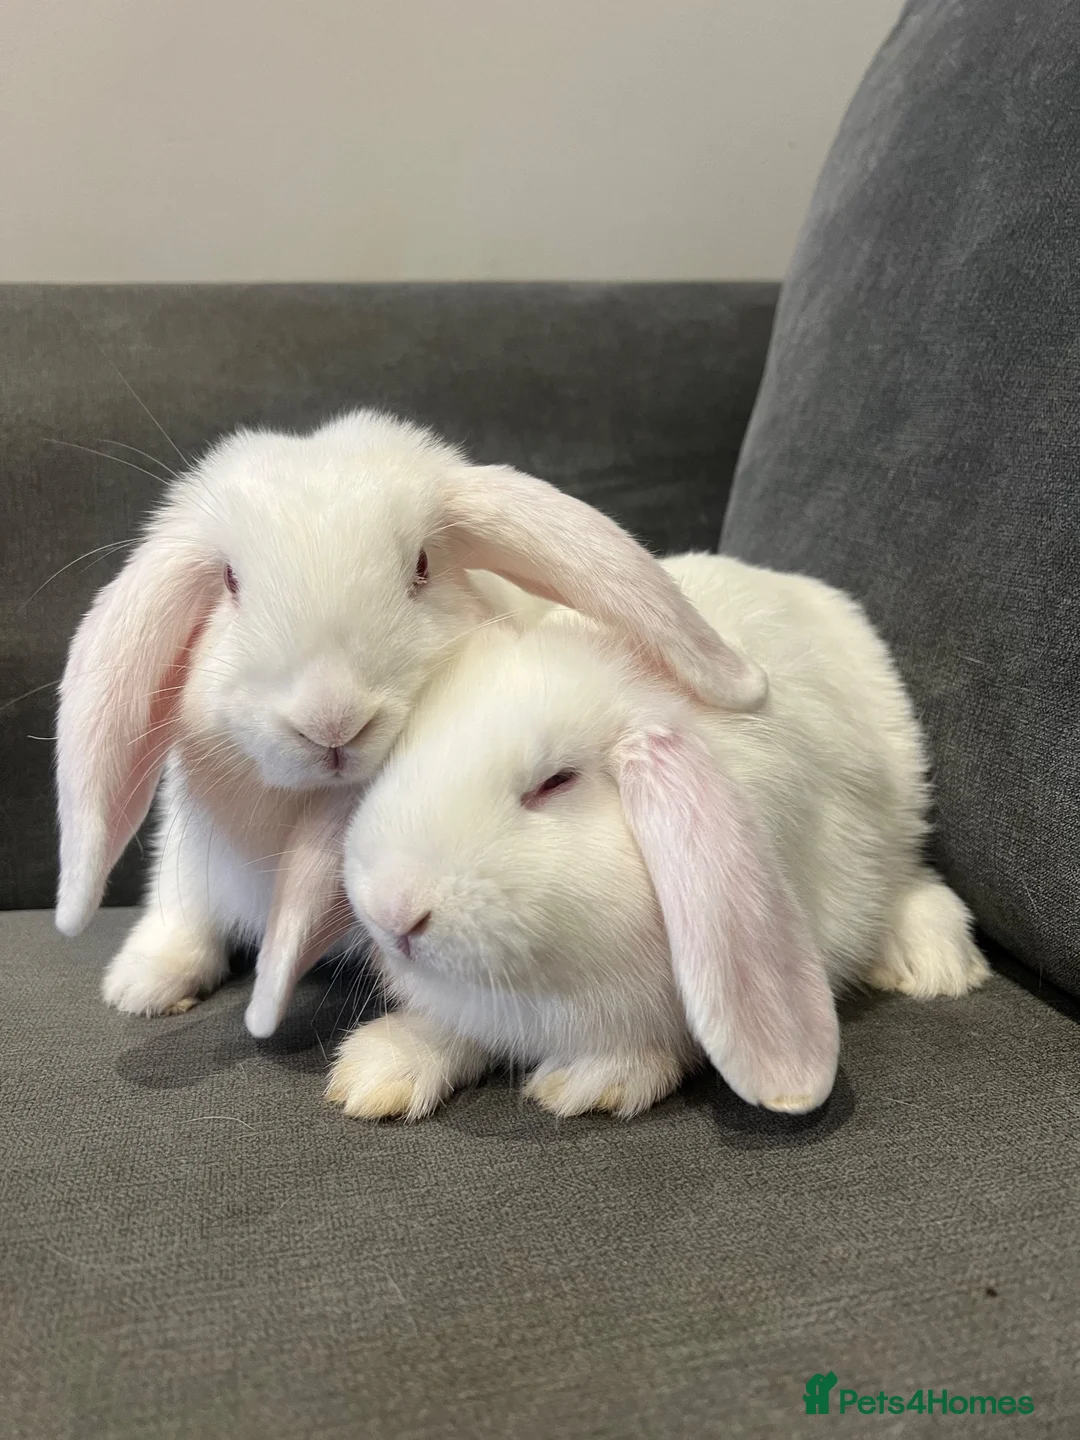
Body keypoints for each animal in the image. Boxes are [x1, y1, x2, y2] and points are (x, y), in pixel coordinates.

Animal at [54, 411, 768, 1031]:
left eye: (421, 566)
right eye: (230, 580)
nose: (332, 722)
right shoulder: (189, 840)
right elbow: (181, 905)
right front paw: (142, 985)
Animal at [324, 553, 990, 1121]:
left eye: (555, 782)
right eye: (394, 756)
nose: (393, 910)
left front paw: (591, 1082)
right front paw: (373, 1075)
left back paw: (933, 964)